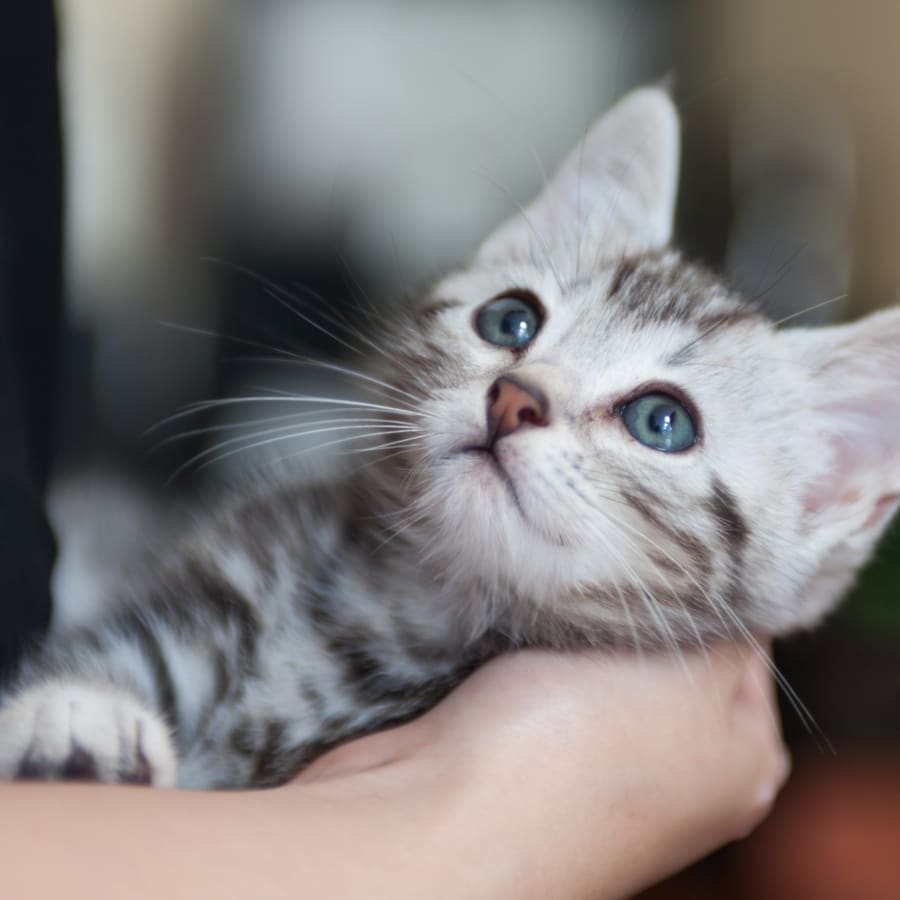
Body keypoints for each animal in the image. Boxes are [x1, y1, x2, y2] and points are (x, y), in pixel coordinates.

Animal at [1, 86, 900, 788]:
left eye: (662, 421)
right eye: (511, 321)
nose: (514, 399)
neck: (405, 608)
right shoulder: (220, 575)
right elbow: (118, 652)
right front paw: (78, 716)